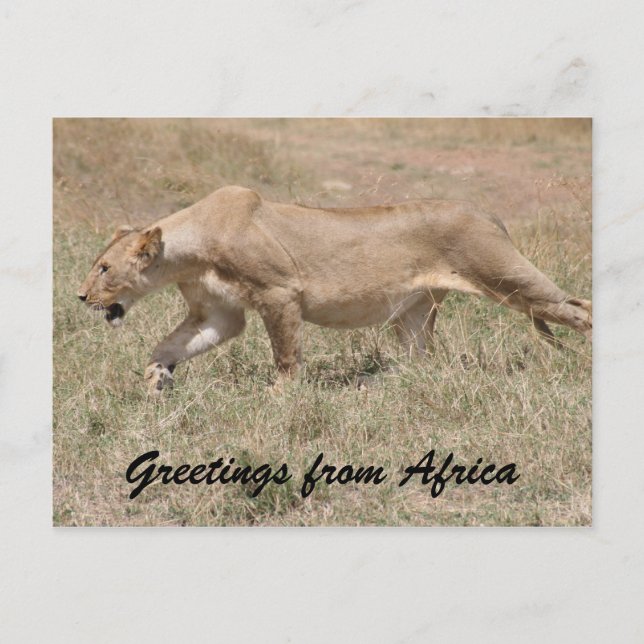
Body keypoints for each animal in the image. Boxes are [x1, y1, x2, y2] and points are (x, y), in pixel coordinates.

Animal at [77, 185, 592, 393]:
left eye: (103, 268)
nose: (81, 297)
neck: (191, 250)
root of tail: (486, 212)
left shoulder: (280, 292)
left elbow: (286, 356)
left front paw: (280, 397)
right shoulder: (219, 315)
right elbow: (169, 346)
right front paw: (155, 380)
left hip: (506, 277)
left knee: (578, 307)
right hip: (414, 311)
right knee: (421, 362)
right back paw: (376, 384)